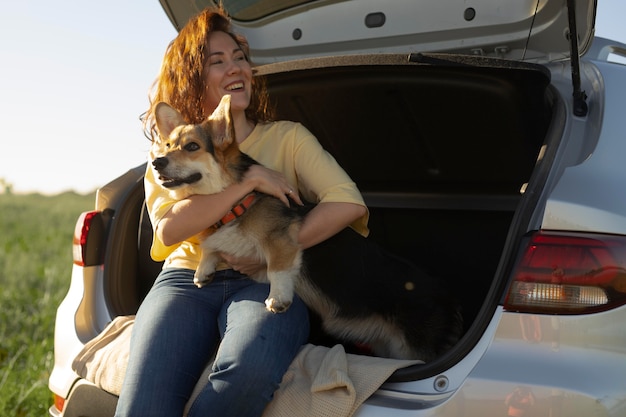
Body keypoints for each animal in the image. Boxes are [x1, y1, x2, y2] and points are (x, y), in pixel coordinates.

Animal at [150, 95, 464, 360]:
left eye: (192, 146)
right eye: (168, 146)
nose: (156, 162)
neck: (235, 202)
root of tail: (446, 293)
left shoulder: (280, 242)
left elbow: (277, 269)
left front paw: (277, 300)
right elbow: (211, 247)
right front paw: (204, 270)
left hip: (411, 348)